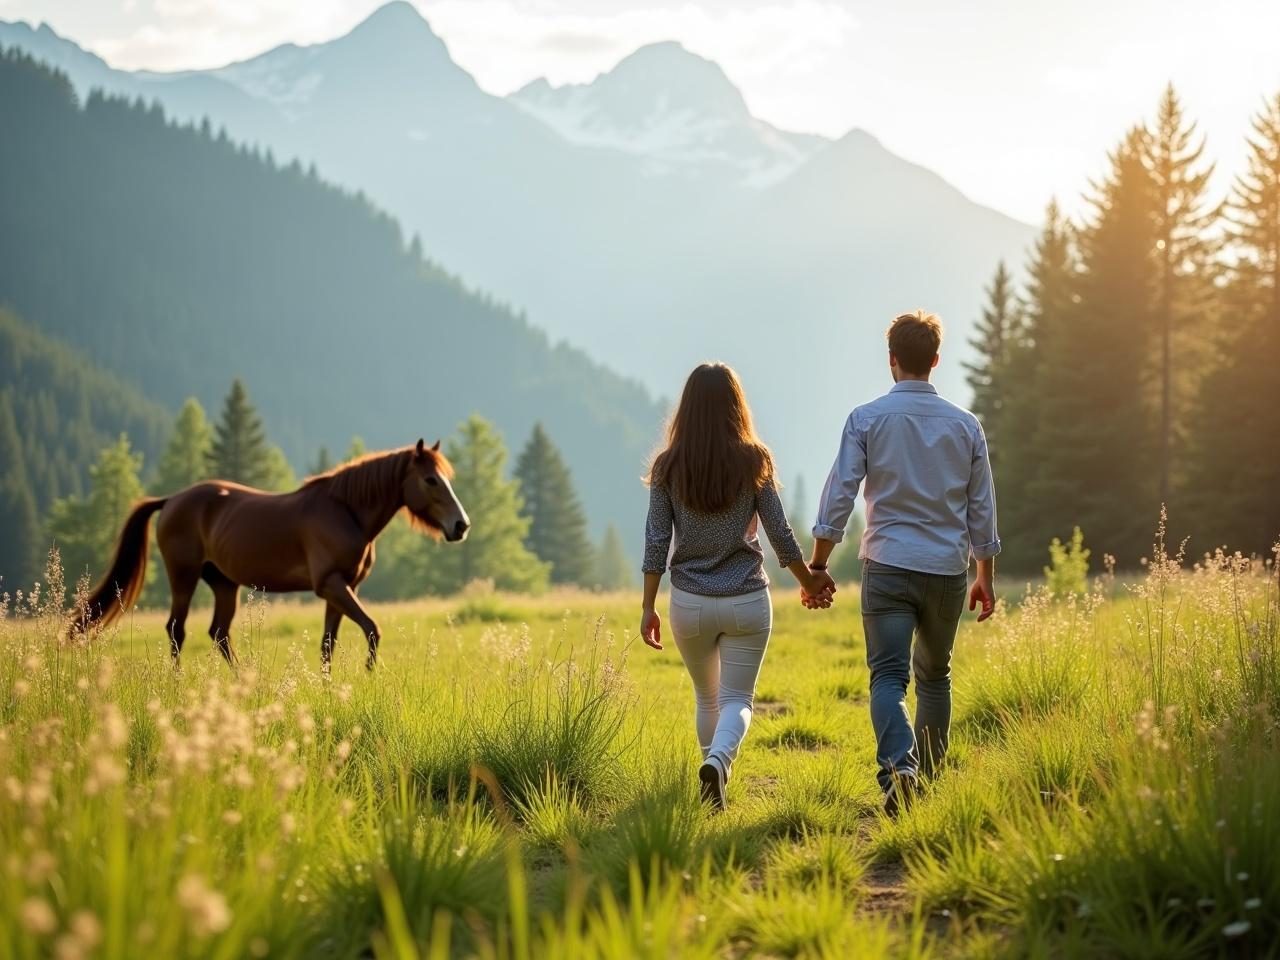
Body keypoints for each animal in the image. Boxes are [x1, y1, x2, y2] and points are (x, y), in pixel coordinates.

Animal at [73, 437, 471, 670]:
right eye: (430, 480)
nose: (461, 525)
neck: (346, 511)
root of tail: (172, 500)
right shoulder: (331, 585)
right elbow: (372, 629)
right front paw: (371, 676)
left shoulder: (342, 588)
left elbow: (328, 644)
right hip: (183, 576)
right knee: (176, 630)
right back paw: (177, 681)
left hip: (224, 583)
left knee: (219, 633)